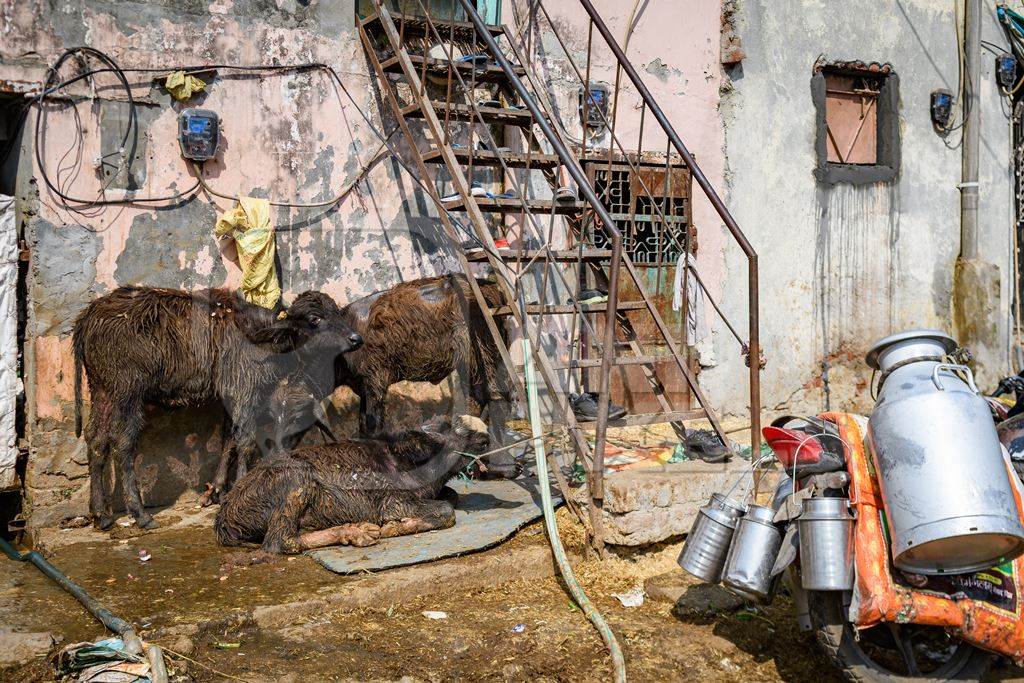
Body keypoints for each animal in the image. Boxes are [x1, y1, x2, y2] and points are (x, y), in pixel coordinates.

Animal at [73, 286, 360, 532]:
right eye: (314, 318)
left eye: (336, 312)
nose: (356, 338)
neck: (261, 336)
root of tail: (89, 315)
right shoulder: (245, 392)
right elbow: (245, 443)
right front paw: (241, 488)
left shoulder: (230, 397)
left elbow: (228, 441)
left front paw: (218, 491)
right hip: (127, 394)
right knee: (123, 443)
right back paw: (140, 514)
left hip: (101, 390)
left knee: (96, 440)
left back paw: (100, 514)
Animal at [212, 413, 491, 552]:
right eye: (455, 433)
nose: (486, 436)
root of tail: (224, 519)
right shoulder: (393, 503)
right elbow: (446, 510)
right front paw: (392, 528)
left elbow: (451, 495)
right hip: (296, 480)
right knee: (280, 542)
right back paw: (360, 533)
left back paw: (357, 531)